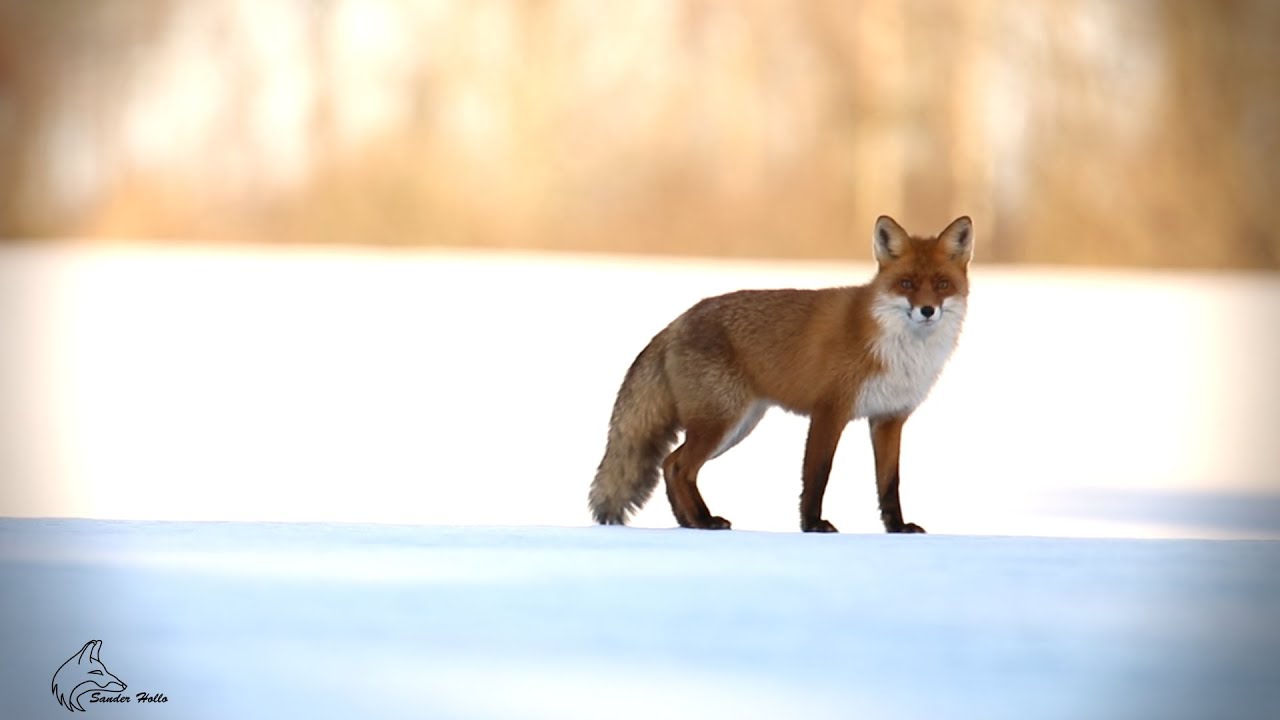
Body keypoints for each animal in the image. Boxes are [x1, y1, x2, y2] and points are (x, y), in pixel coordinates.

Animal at [589, 215, 972, 533]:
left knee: (673, 466)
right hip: (721, 422)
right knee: (679, 466)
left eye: (942, 284)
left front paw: (897, 528)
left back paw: (693, 521)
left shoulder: (889, 418)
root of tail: (676, 322)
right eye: (906, 283)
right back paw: (701, 521)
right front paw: (812, 525)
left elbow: (889, 484)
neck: (898, 348)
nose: (927, 310)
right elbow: (817, 475)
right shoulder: (829, 411)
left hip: (736, 426)